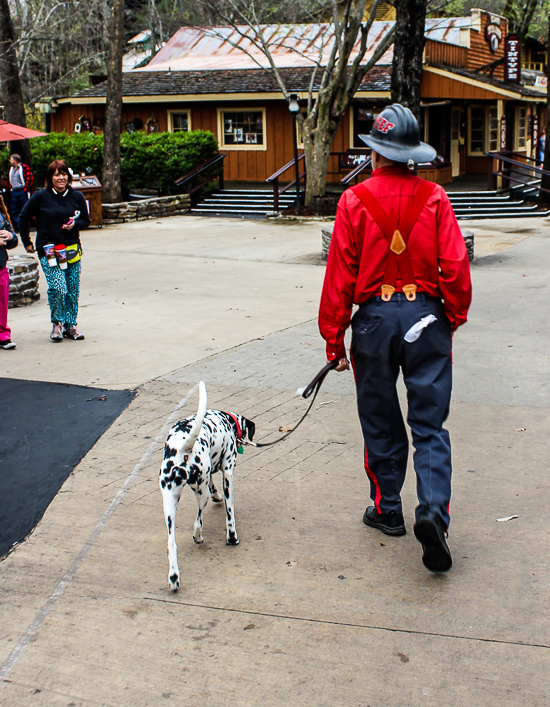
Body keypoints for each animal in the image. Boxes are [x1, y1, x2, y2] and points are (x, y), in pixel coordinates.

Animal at [158, 382, 256, 592]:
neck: (228, 421)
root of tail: (184, 447)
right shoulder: (228, 474)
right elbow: (230, 514)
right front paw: (232, 538)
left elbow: (213, 485)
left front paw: (216, 495)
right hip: (199, 495)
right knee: (198, 522)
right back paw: (199, 537)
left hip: (169, 504)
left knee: (171, 544)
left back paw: (174, 578)